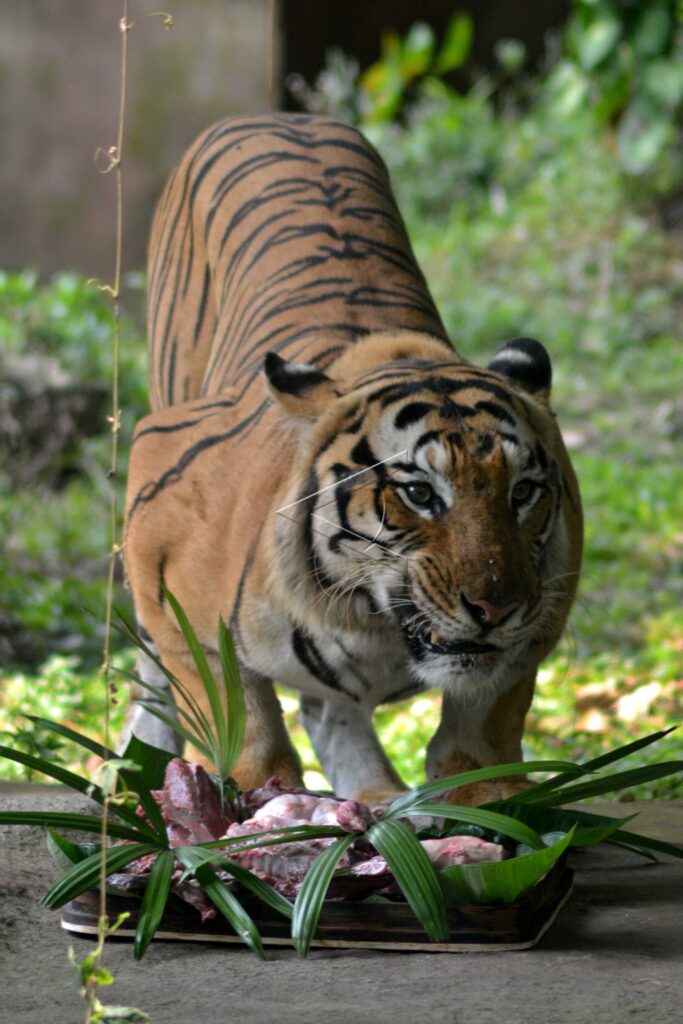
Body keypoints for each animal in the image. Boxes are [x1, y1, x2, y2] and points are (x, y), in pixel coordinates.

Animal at [123, 113, 582, 807]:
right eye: (420, 494)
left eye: (523, 492)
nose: (496, 608)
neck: (377, 627)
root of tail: (278, 115)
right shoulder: (163, 535)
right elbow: (234, 712)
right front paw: (249, 801)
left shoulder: (530, 635)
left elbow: (480, 733)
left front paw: (488, 806)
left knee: (328, 708)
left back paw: (376, 796)